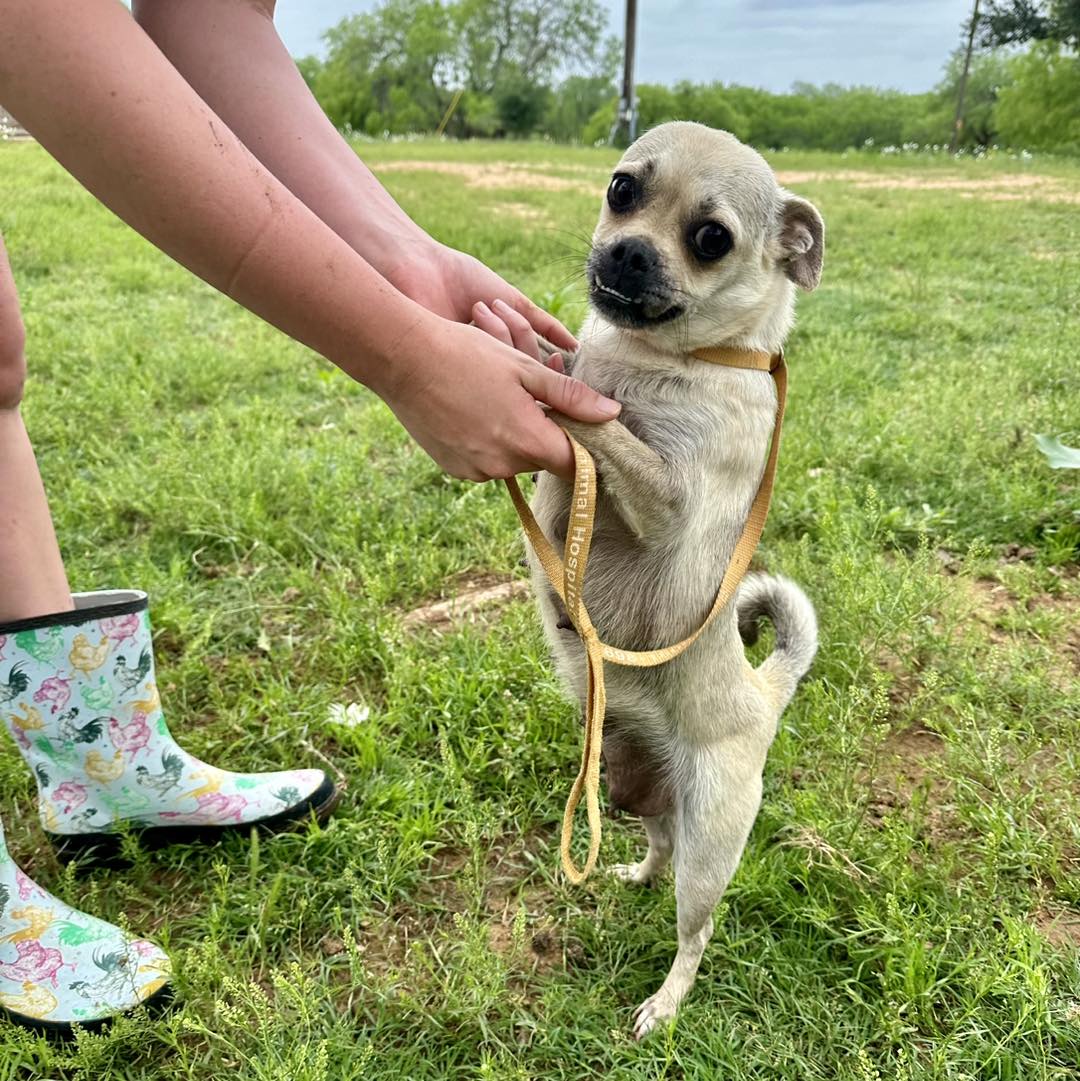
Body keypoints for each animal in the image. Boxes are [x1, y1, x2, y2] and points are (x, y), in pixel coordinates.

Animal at [527, 120, 821, 1037]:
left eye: (711, 240)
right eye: (622, 190)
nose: (627, 252)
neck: (653, 356)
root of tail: (766, 693)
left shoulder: (662, 498)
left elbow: (601, 420)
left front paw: (558, 375)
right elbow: (582, 411)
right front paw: (552, 348)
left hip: (710, 846)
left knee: (697, 929)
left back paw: (665, 1002)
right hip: (631, 790)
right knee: (655, 847)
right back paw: (633, 876)